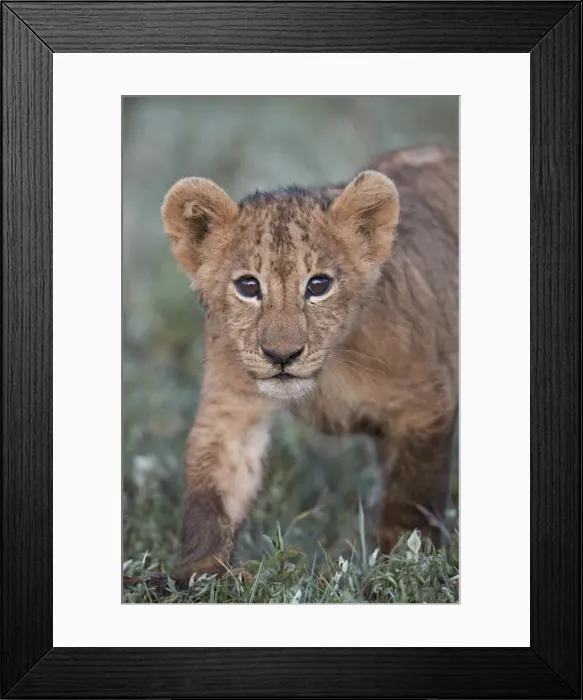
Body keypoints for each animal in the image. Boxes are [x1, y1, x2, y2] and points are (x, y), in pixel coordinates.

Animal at [161, 145, 458, 581]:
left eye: (319, 285)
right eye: (248, 286)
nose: (282, 355)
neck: (329, 373)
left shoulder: (425, 404)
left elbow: (410, 503)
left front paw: (402, 569)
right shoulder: (231, 408)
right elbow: (213, 496)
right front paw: (195, 576)